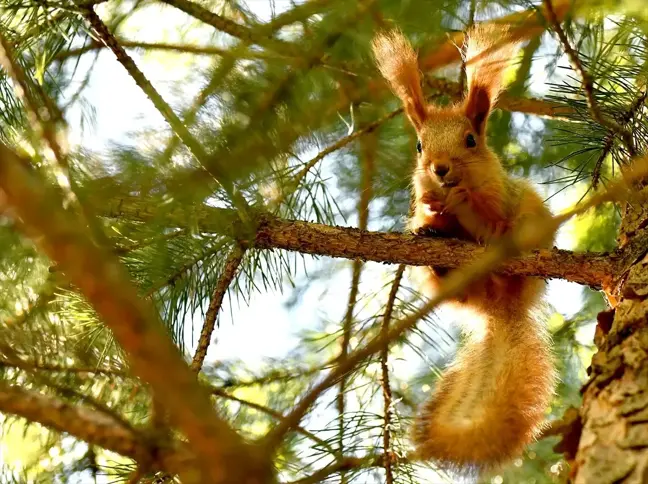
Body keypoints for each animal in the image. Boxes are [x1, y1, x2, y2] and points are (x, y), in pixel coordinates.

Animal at [372, 25, 556, 468]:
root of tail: (501, 307)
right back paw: (439, 257)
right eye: (419, 146)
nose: (440, 169)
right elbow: (431, 212)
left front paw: (461, 202)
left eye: (471, 140)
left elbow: (490, 215)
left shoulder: (499, 197)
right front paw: (431, 213)